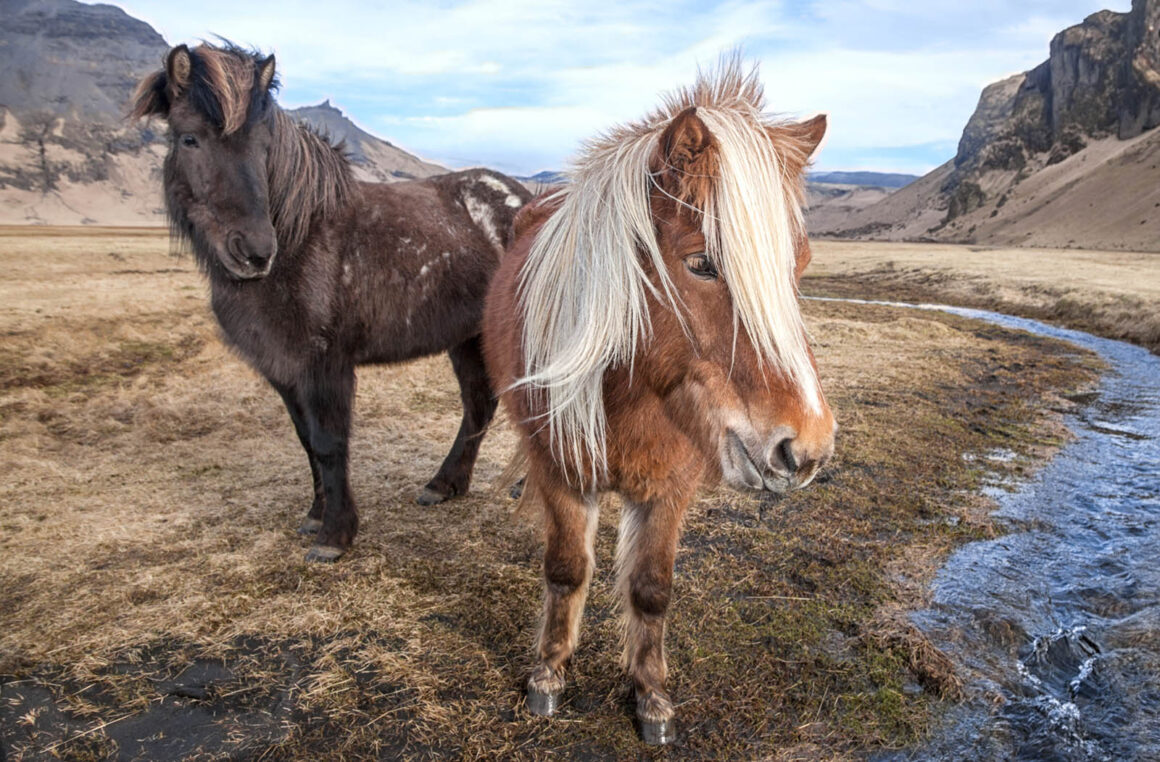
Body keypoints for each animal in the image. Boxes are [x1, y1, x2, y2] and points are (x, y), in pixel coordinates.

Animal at [132, 44, 531, 561]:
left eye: (263, 145)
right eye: (188, 139)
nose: (254, 251)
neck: (301, 239)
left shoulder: (326, 364)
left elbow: (328, 442)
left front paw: (335, 536)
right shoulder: (282, 367)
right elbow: (306, 441)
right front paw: (315, 515)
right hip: (466, 337)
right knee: (480, 404)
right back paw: (445, 484)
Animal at [480, 60, 835, 742]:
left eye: (800, 264)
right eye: (701, 263)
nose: (805, 447)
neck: (629, 387)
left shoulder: (672, 484)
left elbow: (650, 588)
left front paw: (650, 695)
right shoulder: (563, 471)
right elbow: (566, 568)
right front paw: (548, 674)